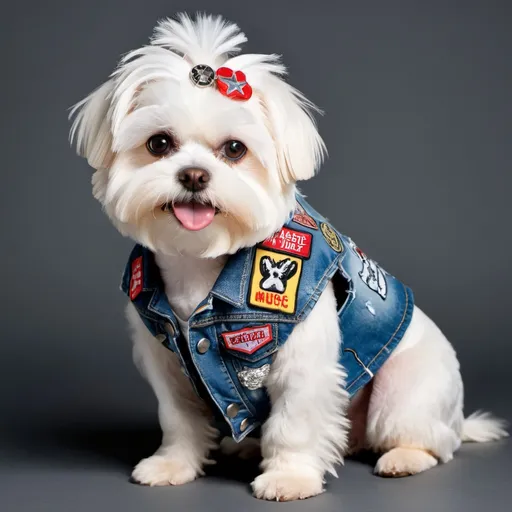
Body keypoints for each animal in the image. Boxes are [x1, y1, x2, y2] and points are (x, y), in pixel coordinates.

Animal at [69, 13, 508, 504]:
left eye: (235, 149)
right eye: (159, 143)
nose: (194, 175)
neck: (200, 264)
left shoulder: (303, 362)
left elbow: (293, 423)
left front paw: (290, 477)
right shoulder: (166, 360)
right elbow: (178, 417)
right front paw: (173, 464)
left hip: (405, 391)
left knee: (430, 442)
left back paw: (404, 457)